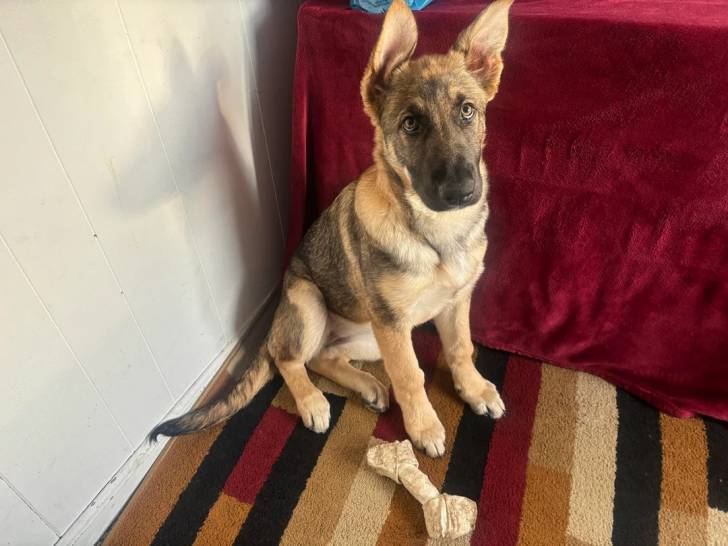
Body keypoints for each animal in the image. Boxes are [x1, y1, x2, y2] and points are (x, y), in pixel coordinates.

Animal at [151, 0, 513, 458]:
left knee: (323, 357)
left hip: (370, 337)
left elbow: (462, 348)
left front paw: (475, 390)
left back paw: (368, 385)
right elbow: (411, 376)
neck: (435, 234)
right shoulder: (394, 325)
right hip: (310, 304)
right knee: (289, 358)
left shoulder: (454, 302)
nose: (462, 191)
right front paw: (424, 426)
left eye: (467, 111)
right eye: (410, 124)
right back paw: (312, 402)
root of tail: (275, 322)